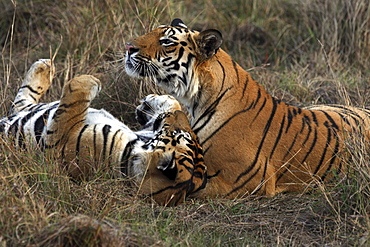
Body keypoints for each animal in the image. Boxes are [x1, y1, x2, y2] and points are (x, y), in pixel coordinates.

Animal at [0, 58, 205, 206]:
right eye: (184, 132)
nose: (180, 117)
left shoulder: (59, 145)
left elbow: (72, 102)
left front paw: (92, 81)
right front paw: (160, 102)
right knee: (21, 101)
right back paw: (44, 66)